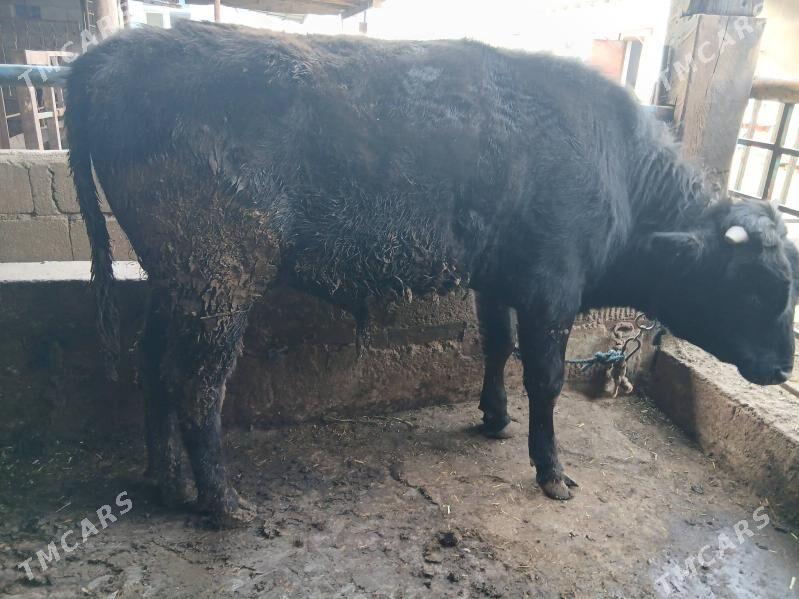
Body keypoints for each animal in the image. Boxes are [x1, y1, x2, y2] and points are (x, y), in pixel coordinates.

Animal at [65, 21, 799, 527]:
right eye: (759, 285)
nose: (783, 366)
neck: (615, 163)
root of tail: (116, 51)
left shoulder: (497, 281)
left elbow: (495, 346)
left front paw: (493, 419)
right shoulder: (551, 290)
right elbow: (544, 379)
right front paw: (551, 471)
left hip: (176, 283)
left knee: (152, 365)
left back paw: (168, 483)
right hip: (221, 279)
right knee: (197, 384)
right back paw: (223, 503)